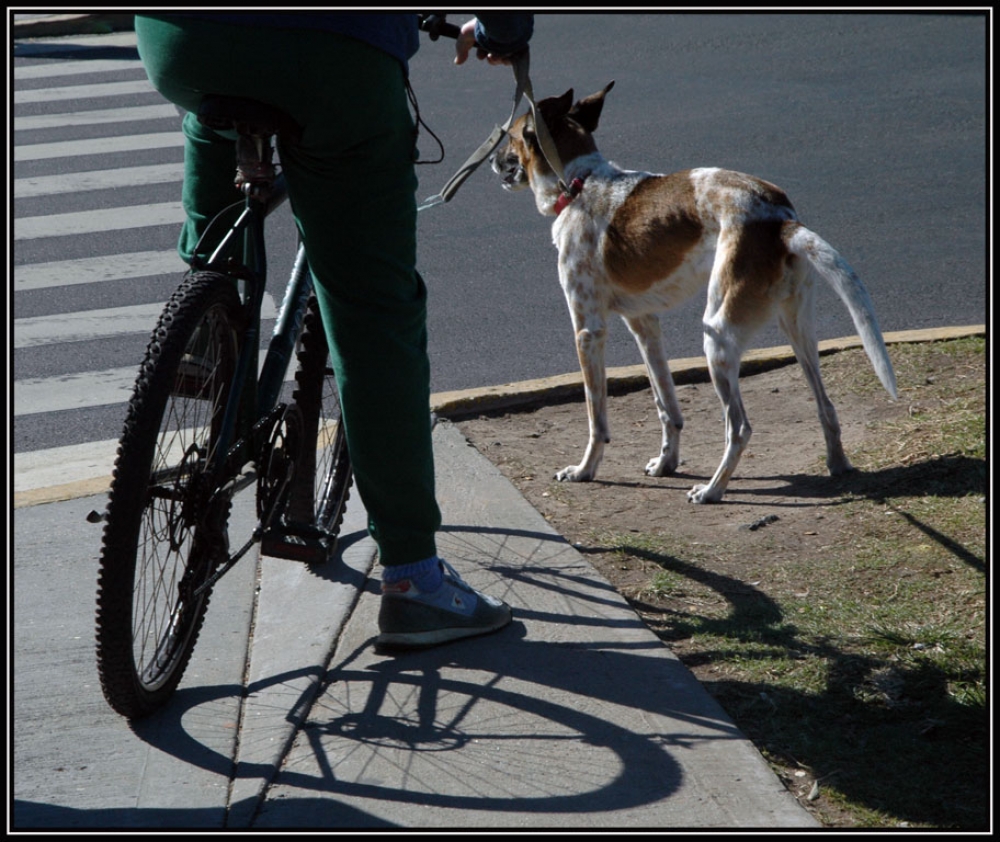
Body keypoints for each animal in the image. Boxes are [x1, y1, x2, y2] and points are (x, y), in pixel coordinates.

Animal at [492, 80, 900, 498]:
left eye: (509, 136)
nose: (492, 161)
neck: (580, 184)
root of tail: (781, 220)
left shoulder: (588, 331)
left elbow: (596, 419)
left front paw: (585, 469)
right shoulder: (644, 326)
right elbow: (667, 406)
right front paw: (666, 463)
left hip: (716, 336)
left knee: (740, 428)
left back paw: (712, 490)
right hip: (797, 332)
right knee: (826, 406)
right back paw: (838, 466)